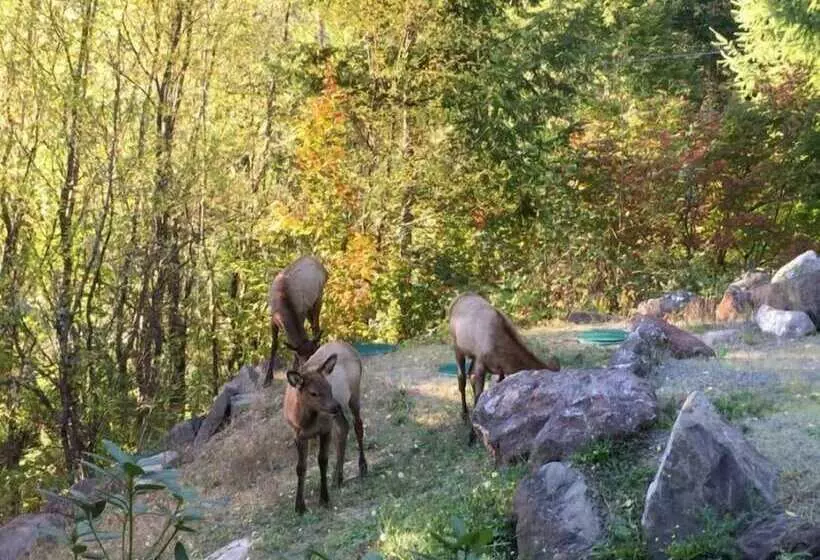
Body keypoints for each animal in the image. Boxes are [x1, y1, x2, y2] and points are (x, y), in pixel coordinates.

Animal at [263, 255, 328, 387]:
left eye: (313, 355)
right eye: (305, 361)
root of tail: (324, 269)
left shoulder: (300, 314)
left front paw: (294, 367)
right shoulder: (273, 318)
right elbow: (274, 345)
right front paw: (267, 378)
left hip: (318, 296)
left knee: (316, 325)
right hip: (310, 306)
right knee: (314, 325)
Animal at [283, 341, 368, 514]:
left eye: (329, 387)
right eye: (313, 393)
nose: (335, 405)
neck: (305, 421)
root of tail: (348, 345)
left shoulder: (325, 429)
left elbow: (322, 461)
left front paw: (324, 499)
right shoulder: (297, 435)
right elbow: (300, 467)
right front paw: (299, 506)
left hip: (354, 393)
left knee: (357, 425)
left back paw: (362, 467)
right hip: (338, 413)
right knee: (344, 427)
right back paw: (337, 477)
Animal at [449, 292, 560, 443]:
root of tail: (457, 299)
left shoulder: (498, 370)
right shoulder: (481, 363)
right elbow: (478, 396)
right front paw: (472, 435)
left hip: (472, 356)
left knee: (468, 375)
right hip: (457, 346)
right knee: (461, 378)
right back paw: (464, 415)